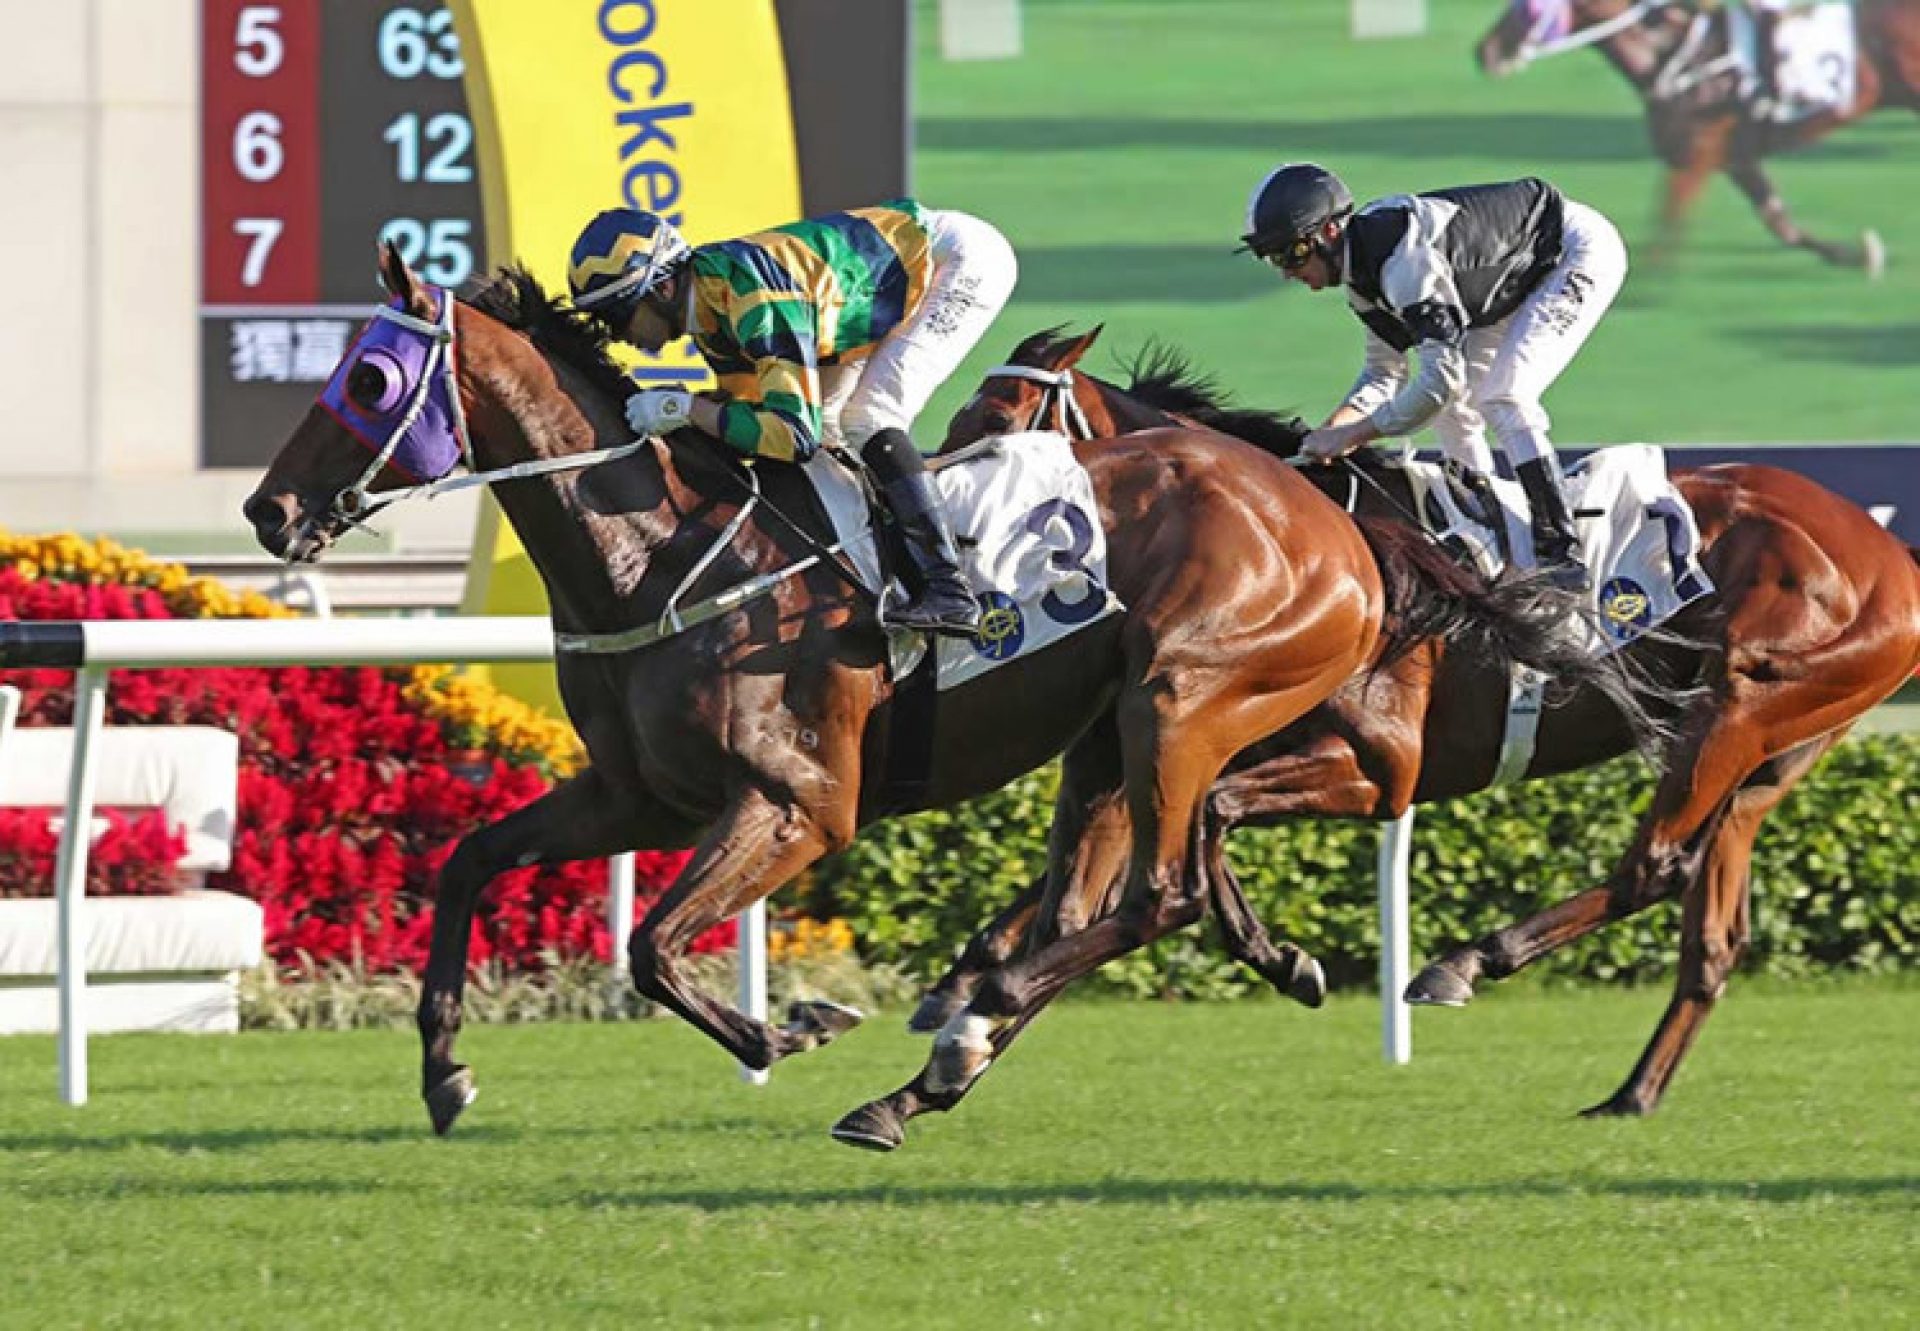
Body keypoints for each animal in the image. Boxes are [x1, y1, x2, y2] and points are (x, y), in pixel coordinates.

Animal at [243, 245, 1589, 1129]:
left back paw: (959, 1027)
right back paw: (935, 1069)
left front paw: (792, 1024)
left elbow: (651, 945)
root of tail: (1331, 510)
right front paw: (443, 1070)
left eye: (369, 381)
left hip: (1184, 698)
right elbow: (474, 860)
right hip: (1109, 741)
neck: (663, 551)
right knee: (1108, 897)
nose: (267, 510)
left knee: (1155, 895)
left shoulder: (797, 803)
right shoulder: (638, 796)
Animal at [871, 326, 1920, 1137]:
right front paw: (955, 1007)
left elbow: (1203, 826)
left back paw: (1465, 963)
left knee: (1653, 865)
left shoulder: (1385, 766)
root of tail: (1889, 549)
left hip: (1735, 709)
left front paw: (1279, 957)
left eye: (996, 429)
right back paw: (1630, 1092)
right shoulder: (1188, 731)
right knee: (1713, 929)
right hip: (1771, 758)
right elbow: (1087, 885)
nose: (930, 539)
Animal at [1474, 0, 1920, 270]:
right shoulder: (1735, 156)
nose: (1485, 52)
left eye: (1527, 9)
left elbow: (1669, 221)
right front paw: (1859, 254)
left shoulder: (1697, 151)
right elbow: (1781, 222)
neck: (1672, 54)